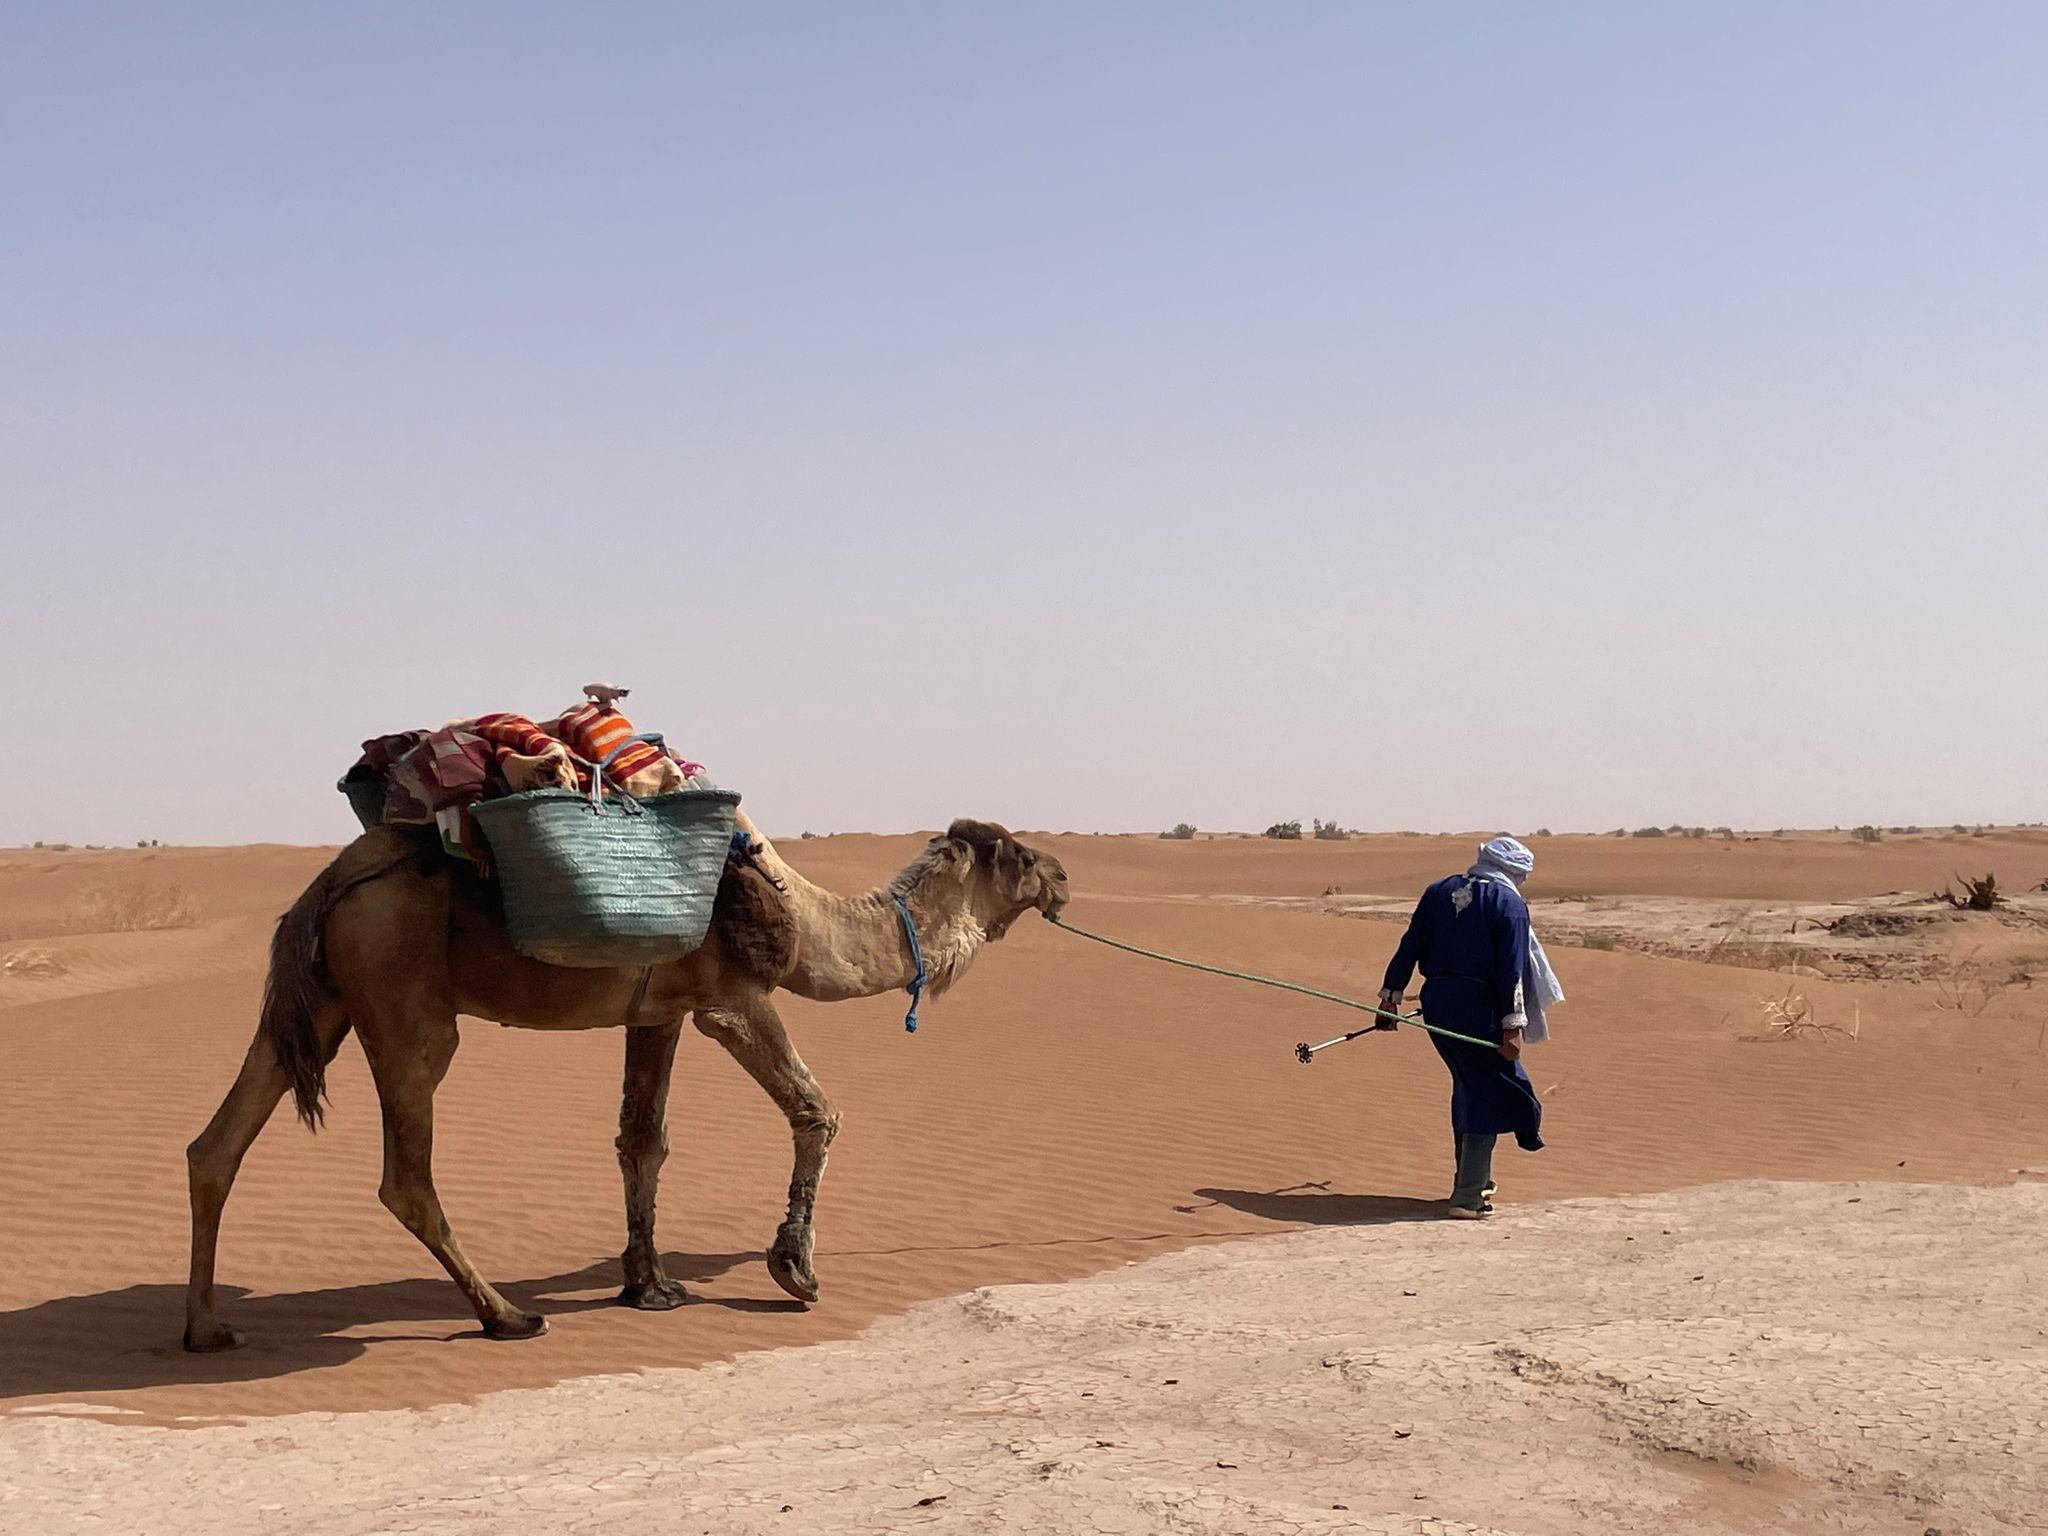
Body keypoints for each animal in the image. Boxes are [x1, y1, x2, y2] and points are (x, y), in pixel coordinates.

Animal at [183, 814, 1068, 1350]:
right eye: (1021, 855)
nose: (1062, 874)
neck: (810, 922)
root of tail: (330, 882)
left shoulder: (659, 1010)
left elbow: (642, 1139)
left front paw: (649, 1286)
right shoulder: (729, 1001)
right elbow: (818, 1110)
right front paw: (795, 1270)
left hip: (323, 1000)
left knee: (214, 1147)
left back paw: (205, 1330)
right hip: (403, 996)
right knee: (406, 1176)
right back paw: (508, 1315)